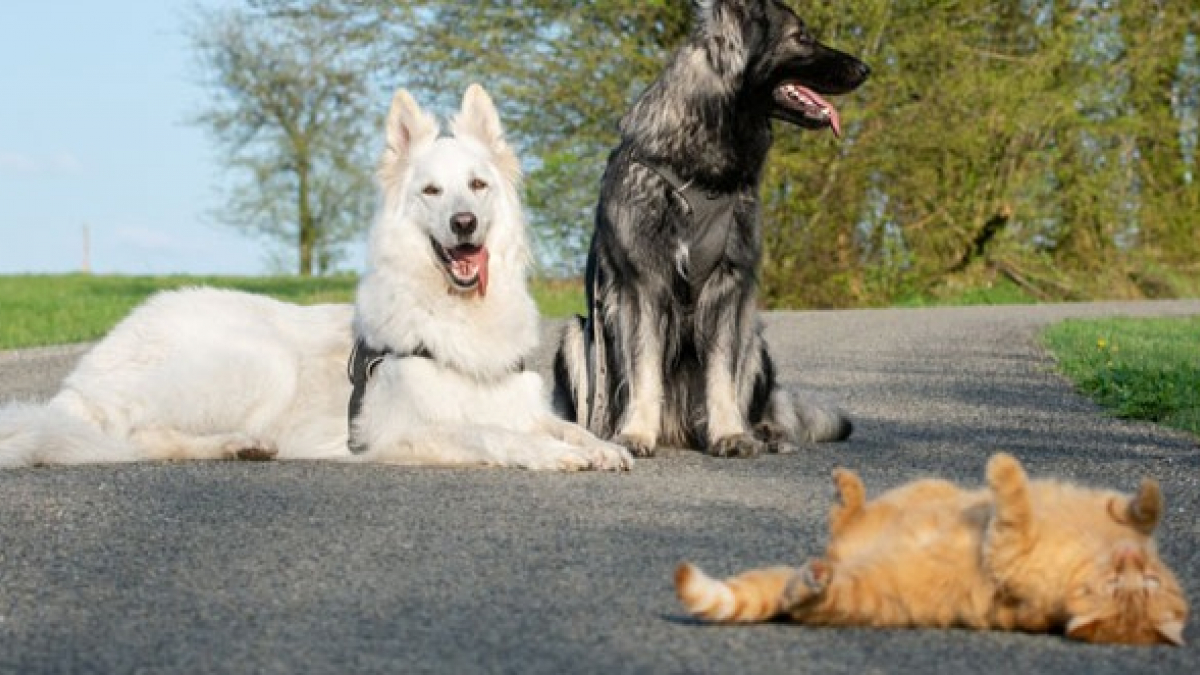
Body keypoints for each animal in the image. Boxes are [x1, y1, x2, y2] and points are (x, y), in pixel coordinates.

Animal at [0, 84, 633, 470]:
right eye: (431, 191)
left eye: (477, 185)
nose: (464, 224)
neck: (454, 316)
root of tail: (80, 382)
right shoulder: (403, 430)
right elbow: (492, 433)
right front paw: (551, 455)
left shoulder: (520, 406)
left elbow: (564, 427)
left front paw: (599, 446)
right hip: (261, 361)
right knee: (135, 438)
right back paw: (233, 444)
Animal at [549, 0, 868, 456]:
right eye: (801, 37)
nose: (865, 69)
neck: (698, 173)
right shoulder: (643, 285)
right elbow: (644, 367)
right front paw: (635, 433)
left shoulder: (727, 284)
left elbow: (721, 374)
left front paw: (730, 434)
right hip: (577, 335)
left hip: (754, 336)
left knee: (761, 402)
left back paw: (765, 434)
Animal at [676, 449, 1190, 643]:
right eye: (1144, 580)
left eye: (1131, 588)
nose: (1129, 560)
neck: (1092, 552)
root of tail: (837, 560)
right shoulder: (1119, 519)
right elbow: (1143, 509)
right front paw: (1146, 493)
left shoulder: (1010, 556)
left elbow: (1015, 504)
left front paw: (1004, 468)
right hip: (921, 489)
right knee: (845, 519)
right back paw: (846, 490)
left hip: (855, 594)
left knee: (801, 596)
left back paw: (814, 578)